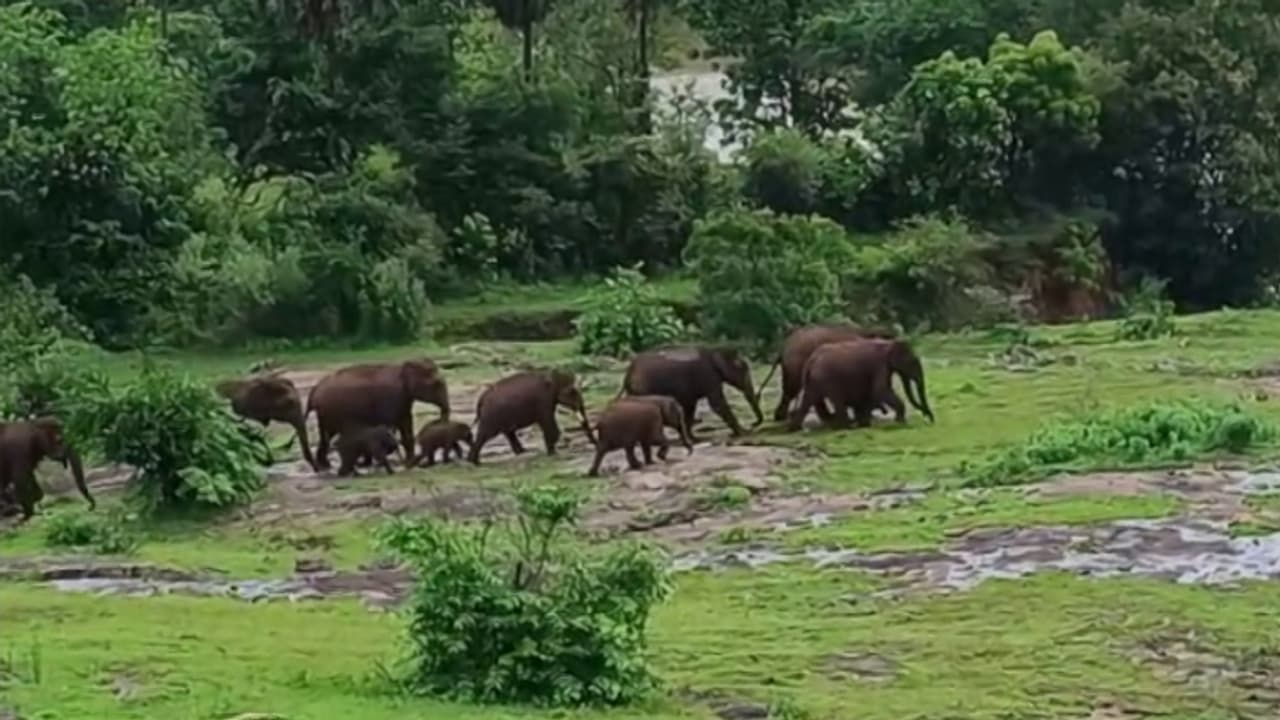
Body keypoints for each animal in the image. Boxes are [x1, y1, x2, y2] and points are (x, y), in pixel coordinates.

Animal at [306, 360, 449, 470]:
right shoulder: (391, 397)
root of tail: (315, 389)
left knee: (326, 436)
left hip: (327, 414)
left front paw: (409, 461)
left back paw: (326, 466)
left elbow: (406, 423)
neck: (402, 367)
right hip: (332, 411)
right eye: (437, 384)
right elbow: (393, 423)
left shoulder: (404, 399)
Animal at [620, 346, 763, 439]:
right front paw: (744, 433)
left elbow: (690, 407)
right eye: (744, 369)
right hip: (642, 389)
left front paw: (693, 438)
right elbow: (717, 404)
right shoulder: (708, 376)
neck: (714, 350)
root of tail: (628, 372)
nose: (753, 424)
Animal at [788, 339, 933, 431]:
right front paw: (901, 422)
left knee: (810, 400)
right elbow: (880, 390)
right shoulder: (880, 365)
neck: (889, 343)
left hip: (814, 380)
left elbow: (873, 393)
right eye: (912, 362)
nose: (930, 419)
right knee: (836, 400)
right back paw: (847, 427)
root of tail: (811, 359)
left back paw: (795, 428)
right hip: (827, 378)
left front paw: (865, 424)